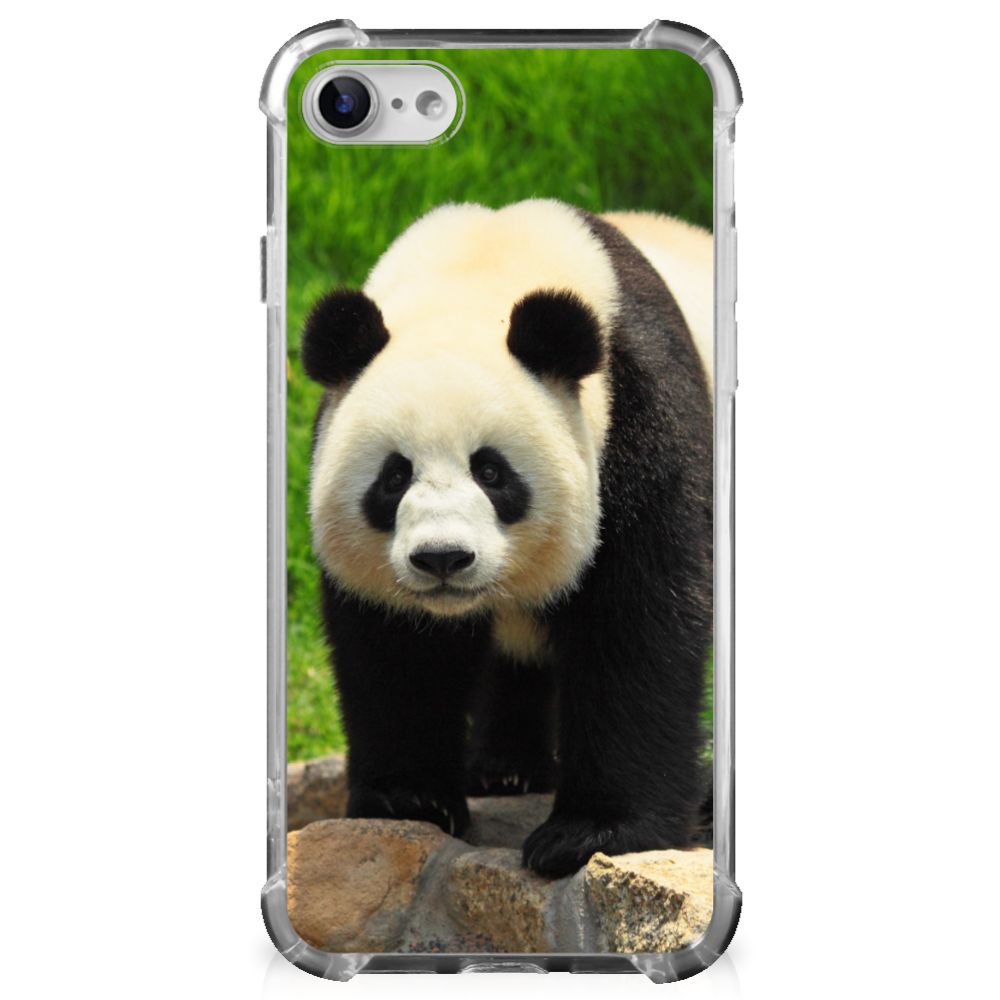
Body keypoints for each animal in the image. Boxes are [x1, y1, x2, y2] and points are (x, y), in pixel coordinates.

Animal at [301, 199, 713, 878]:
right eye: (394, 477)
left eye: (491, 472)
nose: (442, 558)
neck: (480, 271)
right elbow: (396, 649)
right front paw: (409, 799)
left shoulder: (641, 420)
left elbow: (639, 623)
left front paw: (590, 833)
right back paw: (505, 769)